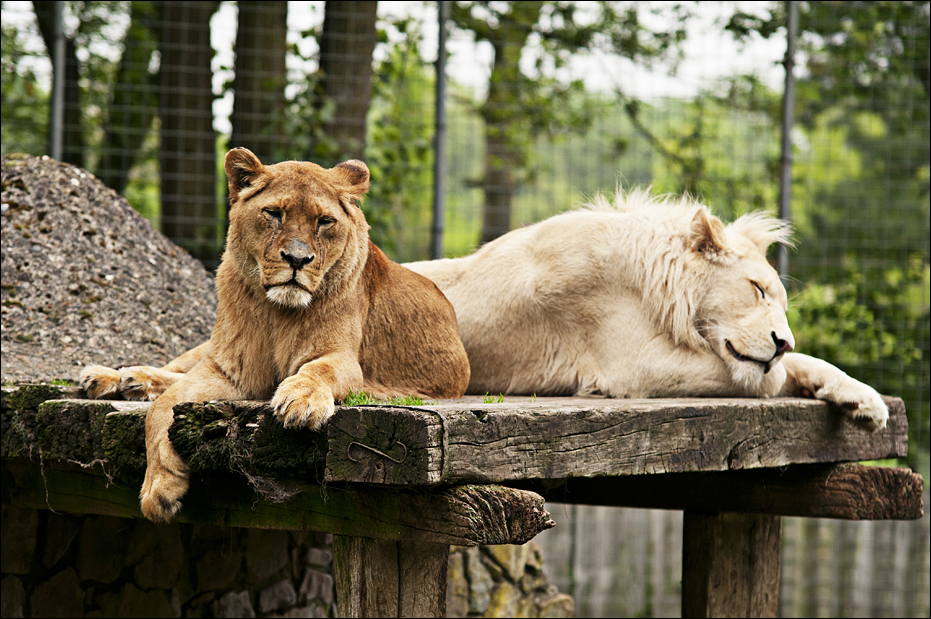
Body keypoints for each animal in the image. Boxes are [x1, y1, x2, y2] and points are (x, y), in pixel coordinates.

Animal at [80, 148, 470, 522]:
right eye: (274, 214)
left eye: (324, 222)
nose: (297, 259)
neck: (277, 313)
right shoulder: (229, 368)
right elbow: (162, 406)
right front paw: (159, 487)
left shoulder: (344, 360)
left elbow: (317, 369)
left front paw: (302, 399)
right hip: (209, 347)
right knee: (177, 367)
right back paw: (112, 377)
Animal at [404, 188, 888, 431]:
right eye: (756, 289)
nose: (782, 341)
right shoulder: (632, 365)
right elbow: (767, 378)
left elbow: (797, 364)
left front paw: (863, 400)